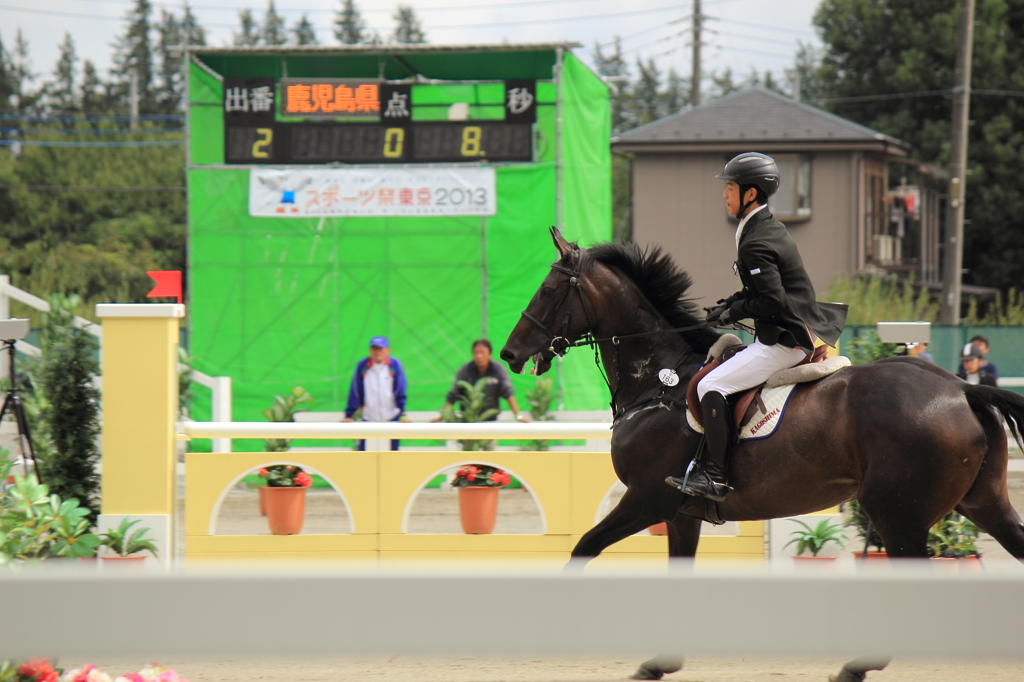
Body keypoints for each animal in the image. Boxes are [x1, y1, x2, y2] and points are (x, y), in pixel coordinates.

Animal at [499, 228, 1024, 561]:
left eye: (548, 290)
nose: (508, 354)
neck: (657, 383)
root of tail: (961, 388)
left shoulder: (648, 499)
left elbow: (583, 547)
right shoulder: (680, 512)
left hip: (899, 515)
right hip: (979, 501)